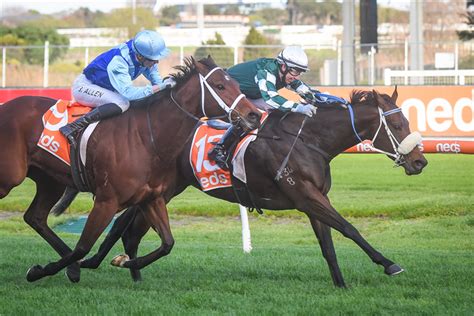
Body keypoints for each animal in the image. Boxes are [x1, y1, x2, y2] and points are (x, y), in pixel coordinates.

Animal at [0, 56, 262, 282]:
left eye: (237, 84)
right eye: (220, 86)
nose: (254, 115)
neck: (147, 138)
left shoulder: (151, 198)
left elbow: (167, 243)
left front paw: (123, 262)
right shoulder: (106, 201)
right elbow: (83, 246)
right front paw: (43, 271)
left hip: (49, 180)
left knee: (35, 217)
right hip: (10, 177)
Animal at [76, 87, 428, 288]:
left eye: (407, 122)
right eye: (397, 124)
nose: (420, 162)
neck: (309, 140)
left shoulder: (314, 199)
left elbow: (328, 244)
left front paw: (341, 285)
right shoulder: (306, 196)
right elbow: (349, 228)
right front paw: (389, 264)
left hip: (162, 190)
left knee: (128, 227)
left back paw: (126, 269)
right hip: (161, 189)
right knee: (124, 225)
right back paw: (101, 264)